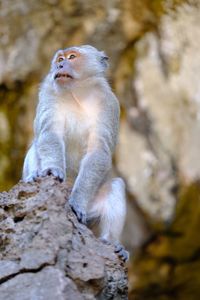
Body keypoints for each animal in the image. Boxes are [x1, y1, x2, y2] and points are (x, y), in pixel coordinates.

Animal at [22, 44, 129, 260]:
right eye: (60, 58)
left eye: (72, 57)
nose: (60, 65)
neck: (77, 94)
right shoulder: (49, 92)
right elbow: (50, 134)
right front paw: (52, 170)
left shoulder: (108, 104)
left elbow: (98, 152)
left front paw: (77, 201)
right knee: (35, 146)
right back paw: (33, 176)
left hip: (92, 209)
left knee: (116, 186)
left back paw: (112, 242)